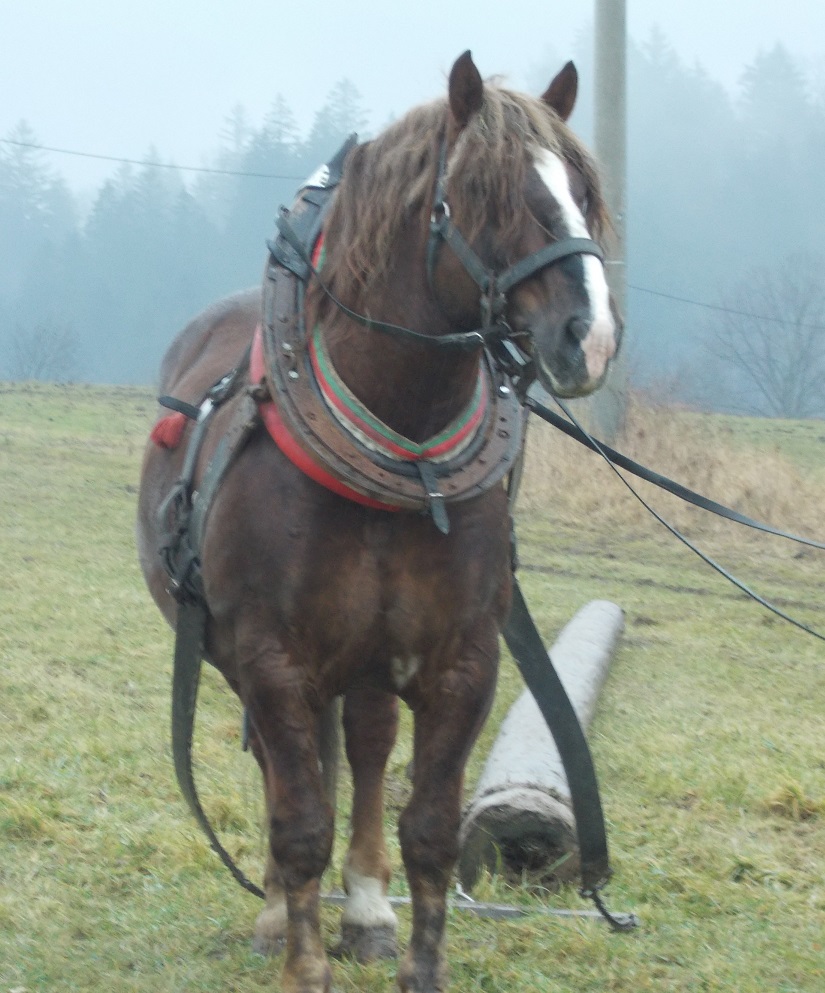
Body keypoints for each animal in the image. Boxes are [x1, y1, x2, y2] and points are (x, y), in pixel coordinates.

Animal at [137, 52, 616, 992]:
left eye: (582, 188)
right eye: (485, 191)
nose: (591, 334)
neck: (406, 447)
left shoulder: (461, 662)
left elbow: (428, 828)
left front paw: (412, 959)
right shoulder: (270, 659)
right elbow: (298, 823)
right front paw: (298, 953)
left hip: (364, 660)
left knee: (361, 747)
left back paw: (362, 910)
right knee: (293, 771)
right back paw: (280, 909)